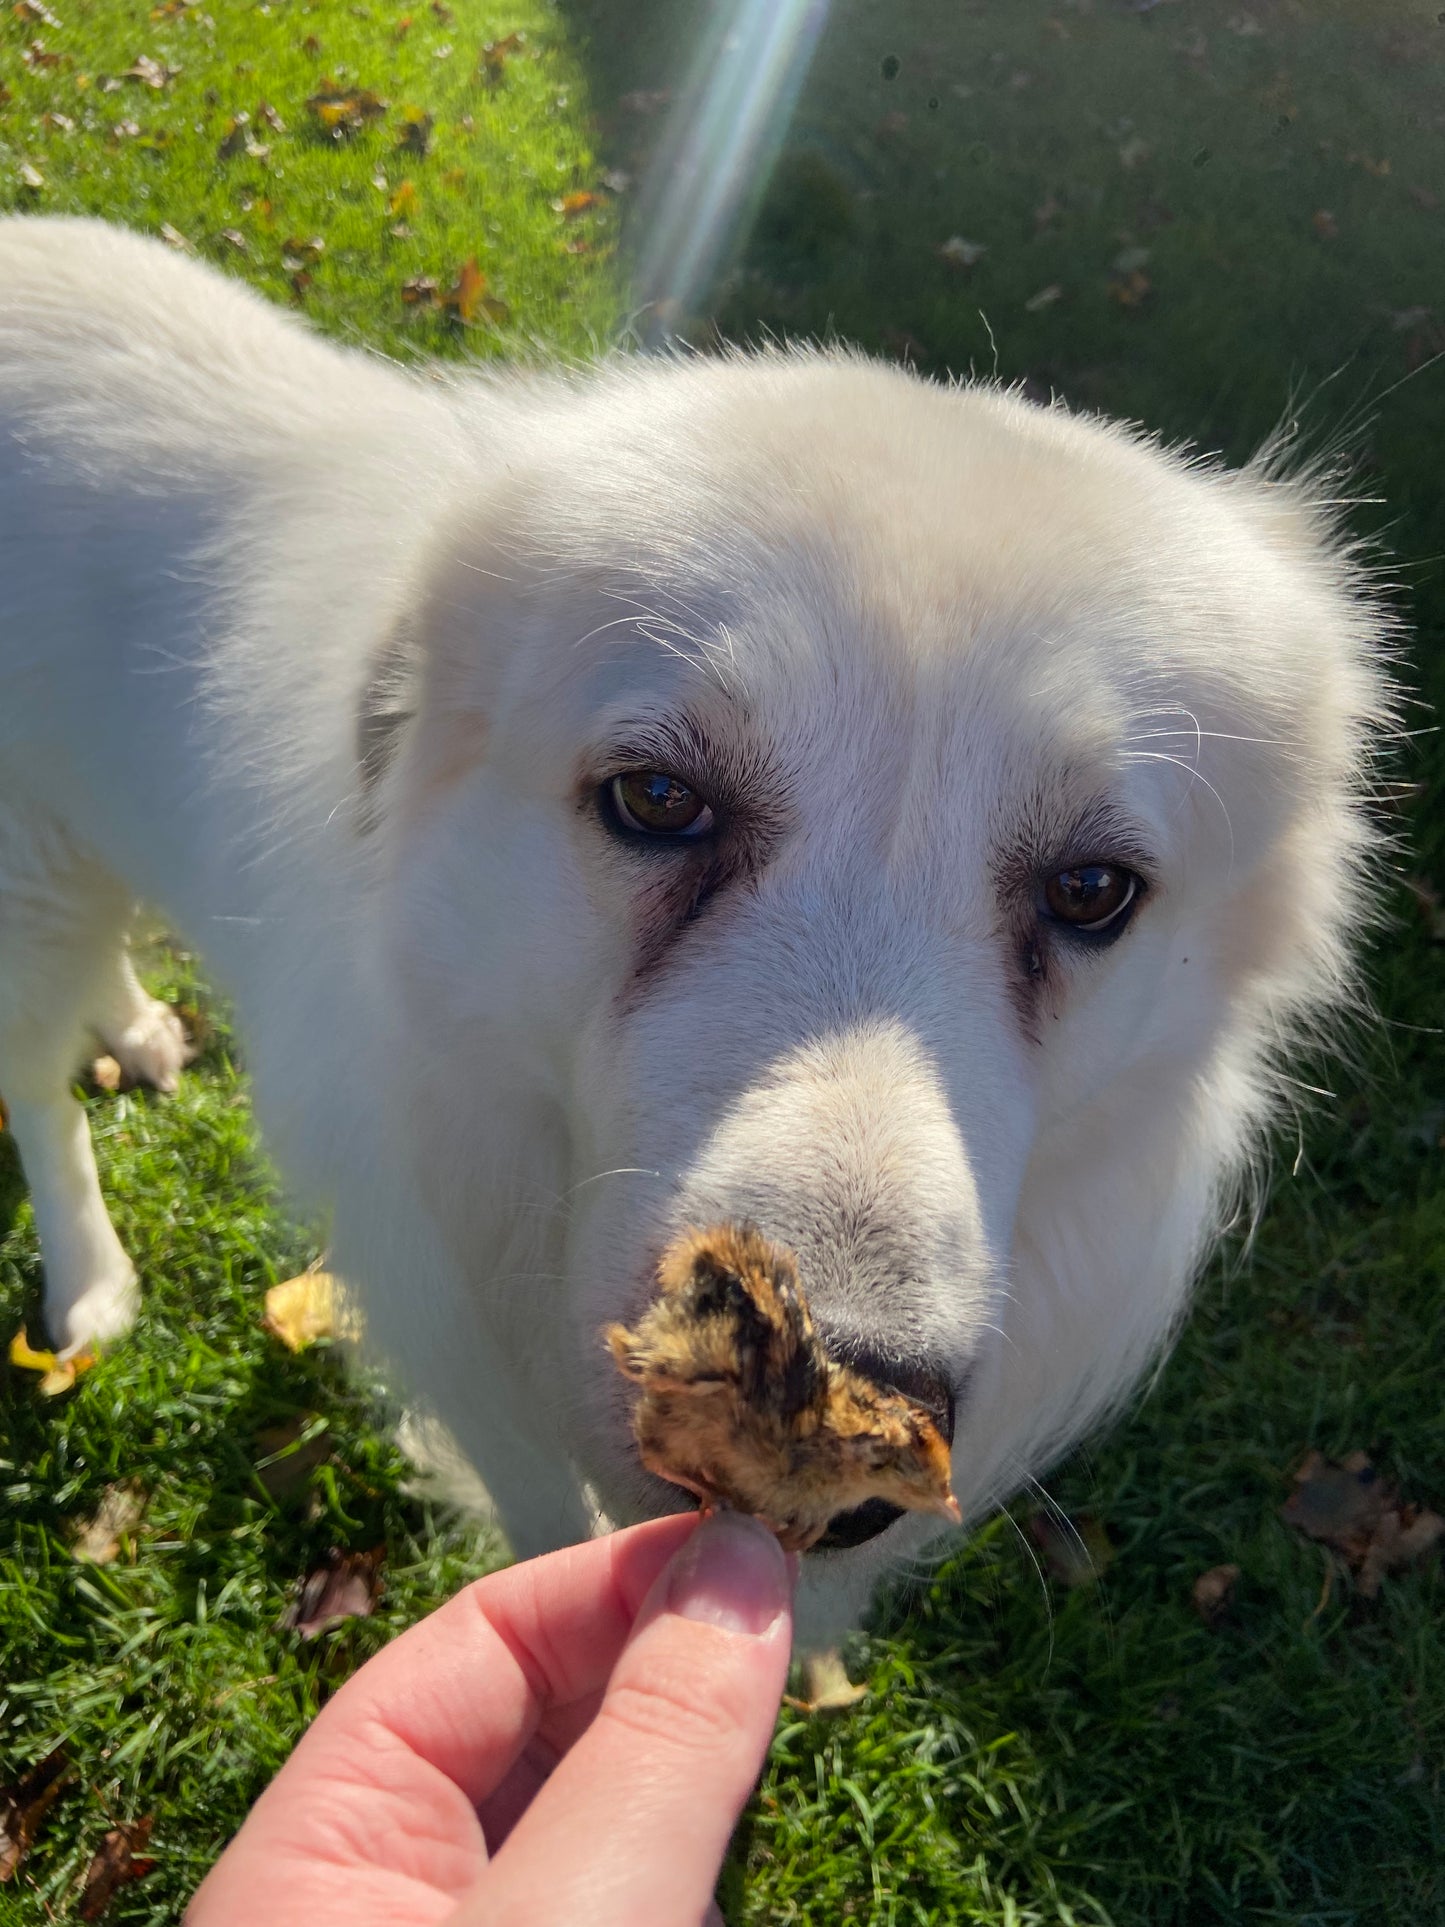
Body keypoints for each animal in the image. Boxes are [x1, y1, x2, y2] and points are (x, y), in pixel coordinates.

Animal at [2, 221, 1402, 1641]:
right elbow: (540, 1528)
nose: (837, 1449)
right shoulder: (464, 1355)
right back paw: (89, 1288)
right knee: (40, 1100)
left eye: (1089, 890)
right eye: (659, 801)